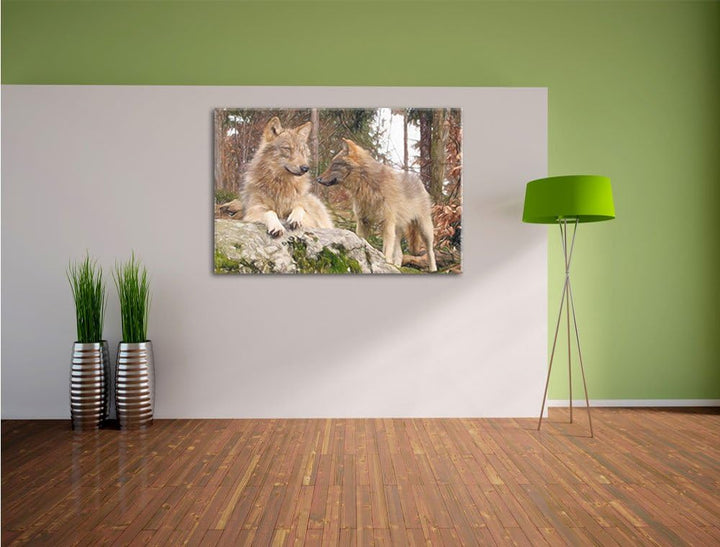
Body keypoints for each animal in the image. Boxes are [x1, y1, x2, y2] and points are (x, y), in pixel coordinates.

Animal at [317, 139, 437, 272]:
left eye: (334, 165)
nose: (318, 179)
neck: (367, 185)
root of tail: (418, 180)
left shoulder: (387, 223)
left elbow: (386, 250)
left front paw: (386, 264)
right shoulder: (363, 221)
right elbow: (362, 240)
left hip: (424, 229)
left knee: (430, 251)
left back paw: (433, 269)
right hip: (398, 230)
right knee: (399, 253)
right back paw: (396, 266)